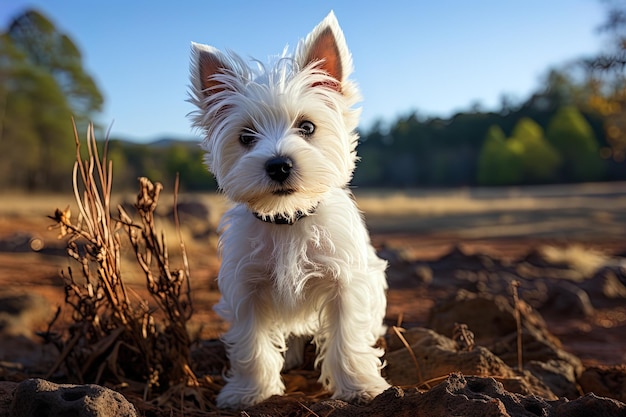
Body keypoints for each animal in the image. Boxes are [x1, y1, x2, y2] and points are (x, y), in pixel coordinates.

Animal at [188, 11, 388, 408]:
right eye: (246, 137)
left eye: (307, 126)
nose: (278, 165)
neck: (288, 220)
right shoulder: (246, 289)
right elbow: (251, 346)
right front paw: (248, 392)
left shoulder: (345, 283)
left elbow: (347, 339)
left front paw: (359, 387)